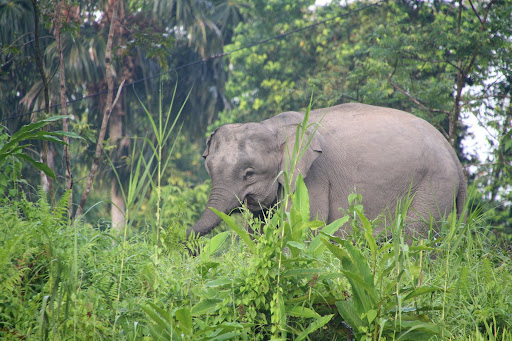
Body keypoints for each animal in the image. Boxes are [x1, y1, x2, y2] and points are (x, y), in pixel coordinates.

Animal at [189, 102, 468, 238]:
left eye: (249, 173)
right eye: (209, 169)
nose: (187, 241)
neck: (274, 126)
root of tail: (454, 157)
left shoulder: (314, 177)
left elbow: (304, 224)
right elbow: (260, 229)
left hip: (432, 187)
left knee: (414, 235)